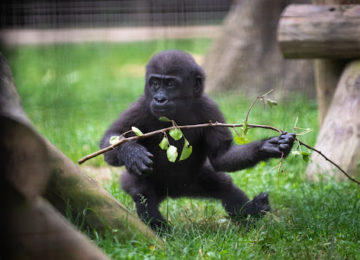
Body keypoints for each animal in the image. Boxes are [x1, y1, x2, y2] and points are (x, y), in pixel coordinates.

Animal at [99, 49, 296, 231]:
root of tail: (172, 193)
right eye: (154, 83)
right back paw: (159, 229)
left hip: (192, 182)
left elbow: (221, 157)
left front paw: (268, 146)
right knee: (142, 191)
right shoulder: (141, 107)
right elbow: (112, 139)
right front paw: (132, 153)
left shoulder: (209, 109)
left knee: (223, 185)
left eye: (170, 84)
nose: (159, 99)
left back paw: (251, 210)